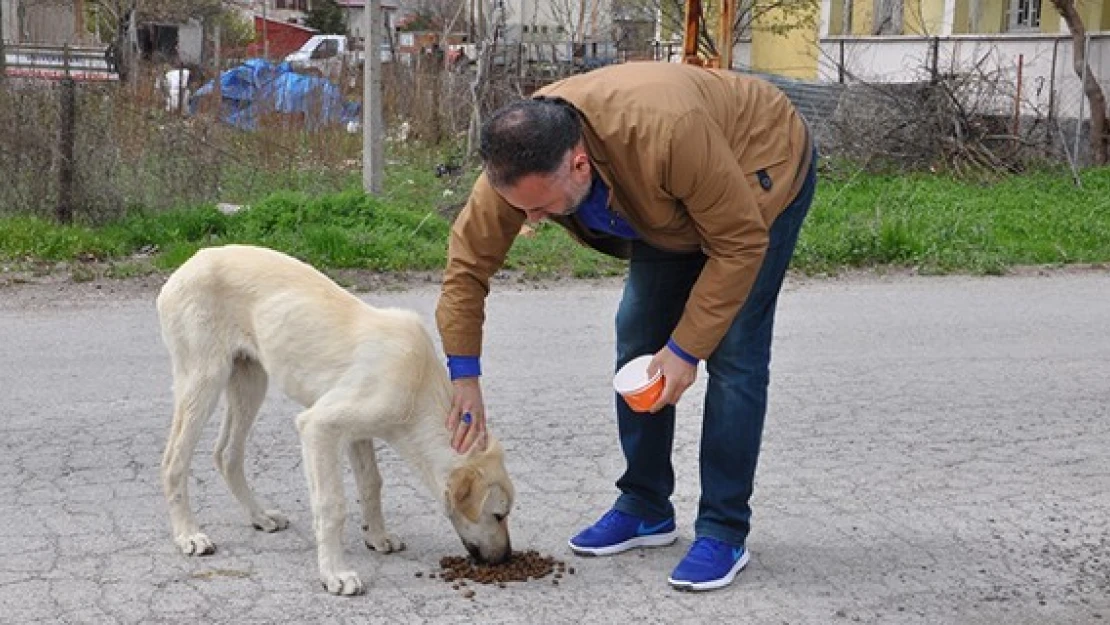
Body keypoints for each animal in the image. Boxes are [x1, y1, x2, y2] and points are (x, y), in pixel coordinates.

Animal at [156, 244, 515, 595]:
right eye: (498, 515)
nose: (507, 559)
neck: (418, 384)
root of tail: (187, 265)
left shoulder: (358, 433)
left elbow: (371, 484)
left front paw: (377, 537)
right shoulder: (319, 427)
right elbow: (332, 506)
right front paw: (335, 573)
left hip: (250, 380)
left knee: (227, 455)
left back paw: (259, 516)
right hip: (204, 379)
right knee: (175, 460)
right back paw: (188, 535)